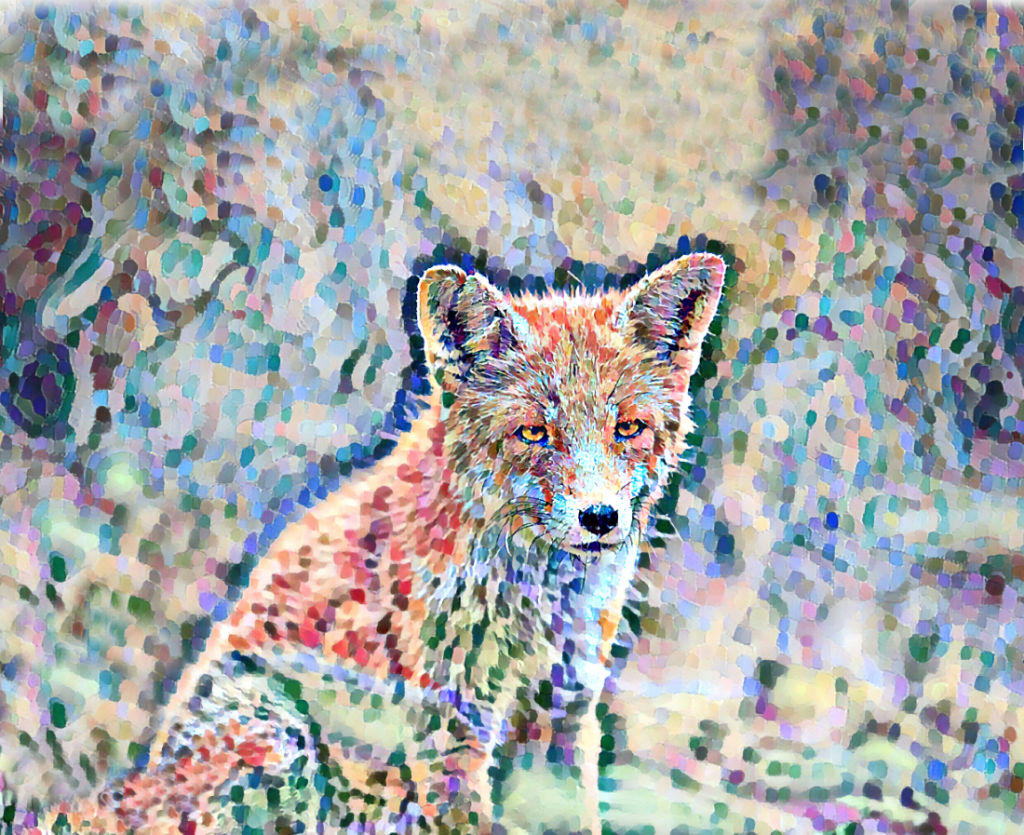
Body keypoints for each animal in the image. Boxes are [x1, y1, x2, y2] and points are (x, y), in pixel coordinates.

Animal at [46, 251, 725, 834]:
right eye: (533, 432)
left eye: (628, 428)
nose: (600, 517)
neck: (539, 605)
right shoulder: (450, 726)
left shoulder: (563, 708)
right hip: (283, 743)